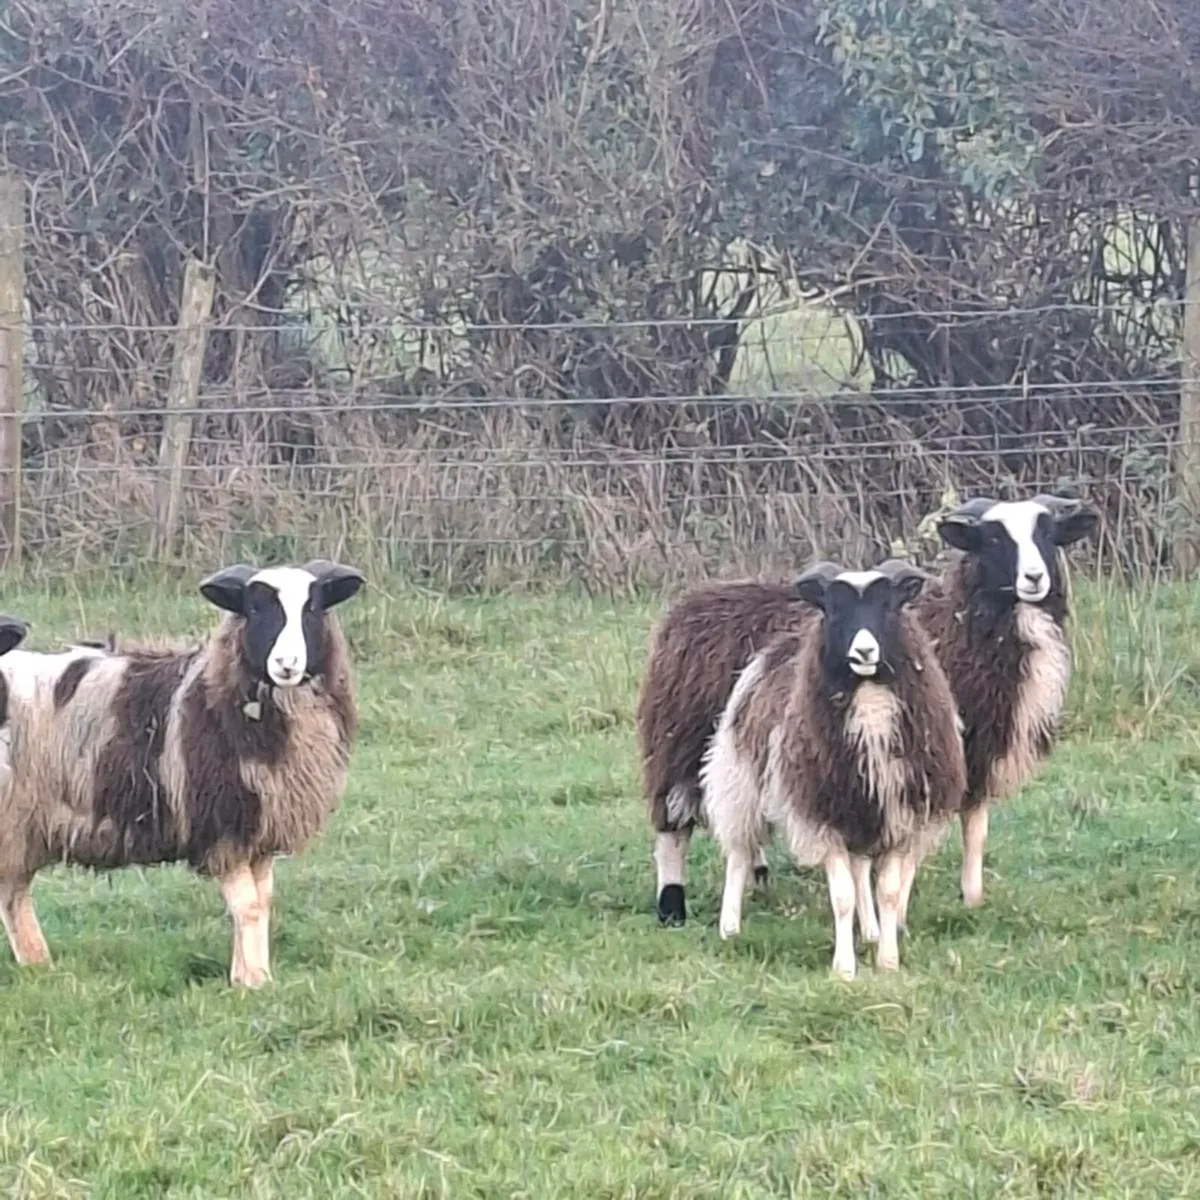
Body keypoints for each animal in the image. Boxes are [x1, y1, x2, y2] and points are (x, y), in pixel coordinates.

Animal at [0, 559, 364, 988]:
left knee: (14, 893)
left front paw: (248, 973)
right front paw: (253, 982)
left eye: (313, 608)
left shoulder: (258, 830)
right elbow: (248, 907)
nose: (286, 665)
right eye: (255, 609)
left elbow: (262, 901)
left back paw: (39, 964)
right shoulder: (222, 826)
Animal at [701, 559, 967, 978]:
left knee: (860, 871)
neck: (869, 696)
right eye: (834, 608)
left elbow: (888, 893)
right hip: (741, 781)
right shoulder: (823, 817)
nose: (864, 651)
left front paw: (887, 960)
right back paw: (730, 927)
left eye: (889, 605)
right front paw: (844, 969)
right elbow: (841, 897)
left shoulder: (898, 818)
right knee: (740, 851)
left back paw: (870, 931)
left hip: (858, 811)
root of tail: (779, 646)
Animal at [913, 494, 1097, 911]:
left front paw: (972, 897)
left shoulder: (981, 750)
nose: (1034, 578)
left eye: (1047, 533)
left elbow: (976, 828)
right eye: (994, 539)